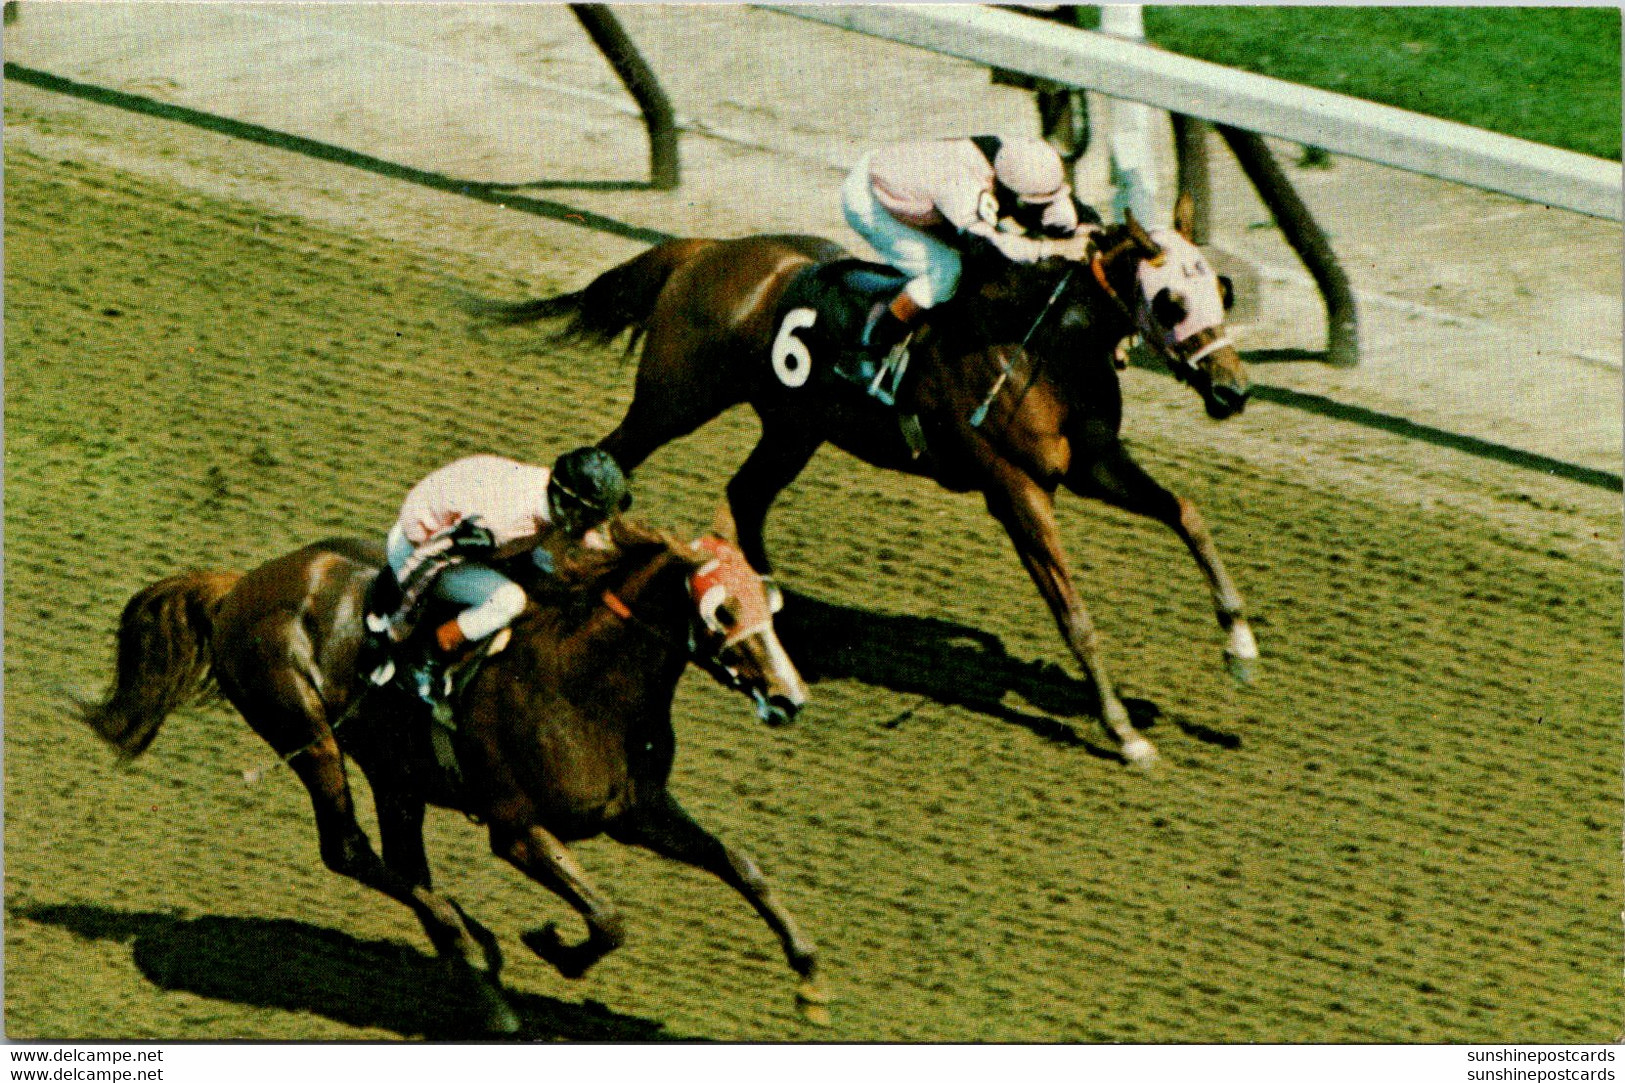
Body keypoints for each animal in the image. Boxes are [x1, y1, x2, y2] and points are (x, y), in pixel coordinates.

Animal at [80, 520, 832, 1027]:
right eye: (723, 609)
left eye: (771, 605)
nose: (790, 696)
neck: (585, 685)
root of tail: (238, 586)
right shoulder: (516, 828)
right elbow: (608, 917)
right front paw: (554, 946)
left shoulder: (634, 808)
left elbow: (738, 864)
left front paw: (809, 974)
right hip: (305, 727)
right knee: (347, 847)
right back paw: (475, 956)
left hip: (394, 769)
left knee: (400, 860)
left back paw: (470, 946)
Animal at [487, 195, 1261, 767]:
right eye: (1171, 300)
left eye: (1221, 290)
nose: (1233, 392)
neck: (1040, 344)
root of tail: (705, 249)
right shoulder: (1014, 487)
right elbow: (1073, 612)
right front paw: (1125, 732)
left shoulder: (1094, 463)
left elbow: (1187, 513)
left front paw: (1241, 646)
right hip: (674, 400)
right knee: (607, 458)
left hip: (792, 427)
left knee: (745, 498)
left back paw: (775, 615)